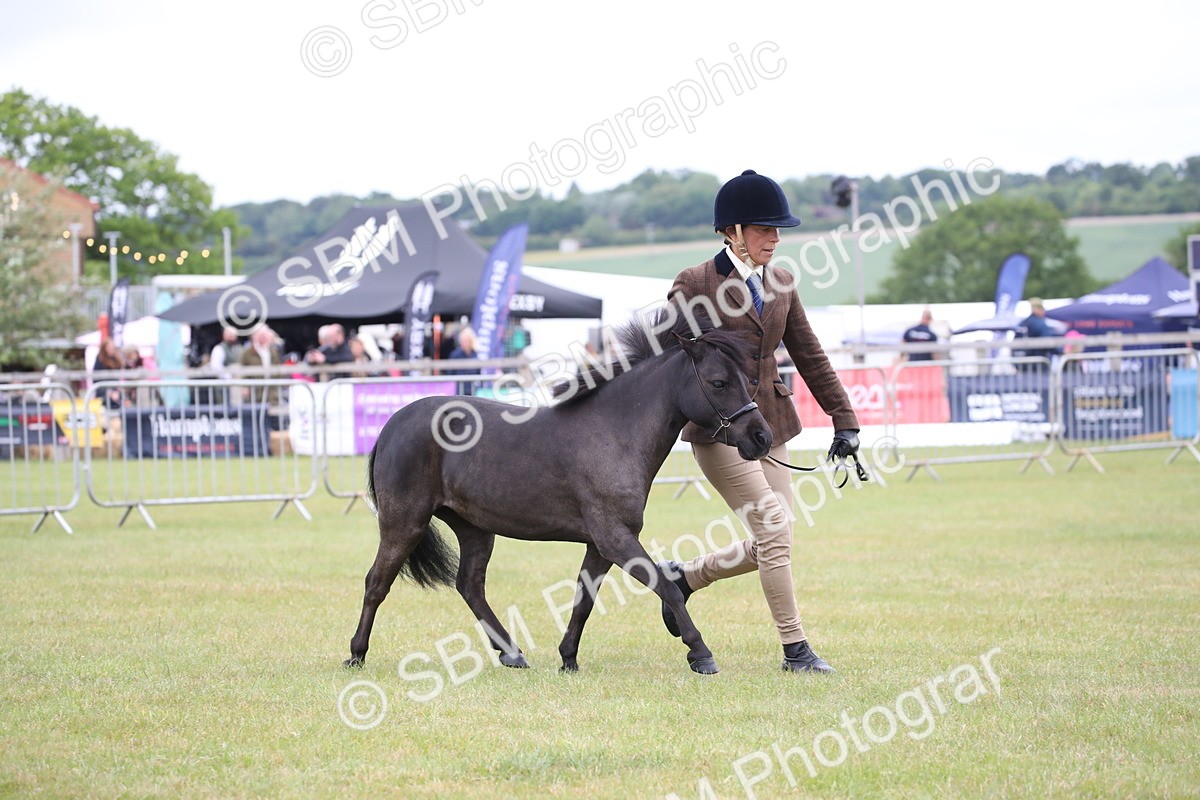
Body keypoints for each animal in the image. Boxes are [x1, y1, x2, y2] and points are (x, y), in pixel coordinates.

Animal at [345, 308, 773, 675]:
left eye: (747, 380)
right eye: (718, 382)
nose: (761, 437)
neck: (615, 431)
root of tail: (393, 424)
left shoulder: (600, 545)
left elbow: (584, 600)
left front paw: (568, 657)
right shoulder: (615, 538)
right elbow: (665, 585)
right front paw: (700, 653)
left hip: (474, 528)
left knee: (469, 585)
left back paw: (512, 653)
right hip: (404, 523)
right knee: (376, 582)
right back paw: (356, 654)